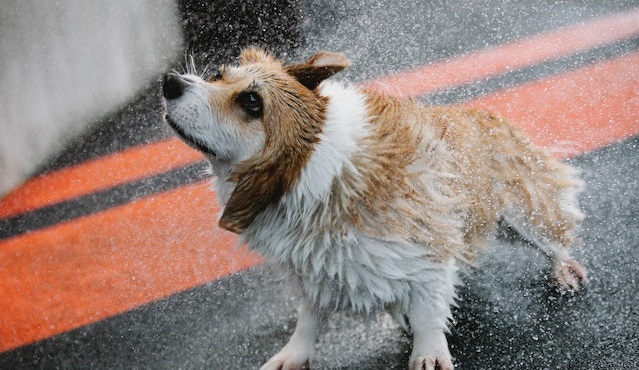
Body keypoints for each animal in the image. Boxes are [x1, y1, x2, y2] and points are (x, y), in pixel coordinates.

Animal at [161, 49, 592, 370]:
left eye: (252, 102)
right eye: (217, 74)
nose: (170, 82)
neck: (311, 170)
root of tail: (490, 114)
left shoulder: (428, 244)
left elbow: (428, 310)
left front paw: (428, 353)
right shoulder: (314, 268)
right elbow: (308, 318)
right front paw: (293, 355)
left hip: (522, 217)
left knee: (555, 237)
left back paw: (564, 269)